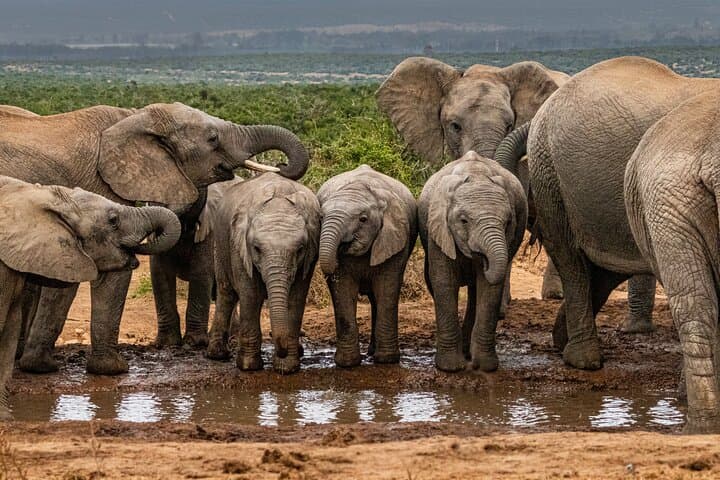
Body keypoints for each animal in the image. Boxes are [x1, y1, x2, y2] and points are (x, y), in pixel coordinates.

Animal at [150, 177, 242, 349]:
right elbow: (160, 273)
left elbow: (200, 273)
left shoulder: (211, 230)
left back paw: (228, 341)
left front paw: (194, 343)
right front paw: (166, 344)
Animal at [207, 173, 320, 374]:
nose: (282, 350)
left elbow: (296, 298)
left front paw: (287, 367)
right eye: (257, 249)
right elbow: (251, 295)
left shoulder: (309, 257)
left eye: (300, 250)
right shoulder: (239, 247)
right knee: (226, 293)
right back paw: (217, 355)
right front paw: (248, 366)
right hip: (219, 243)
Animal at [316, 165, 418, 367]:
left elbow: (387, 288)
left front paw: (387, 360)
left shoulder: (394, 240)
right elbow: (343, 290)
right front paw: (347, 363)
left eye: (363, 219)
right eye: (321, 217)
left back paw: (374, 352)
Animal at [418, 151, 527, 372]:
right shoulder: (439, 229)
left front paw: (485, 367)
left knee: (476, 291)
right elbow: (443, 281)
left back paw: (468, 352)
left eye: (508, 222)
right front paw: (450, 368)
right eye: (463, 221)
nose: (483, 260)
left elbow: (489, 288)